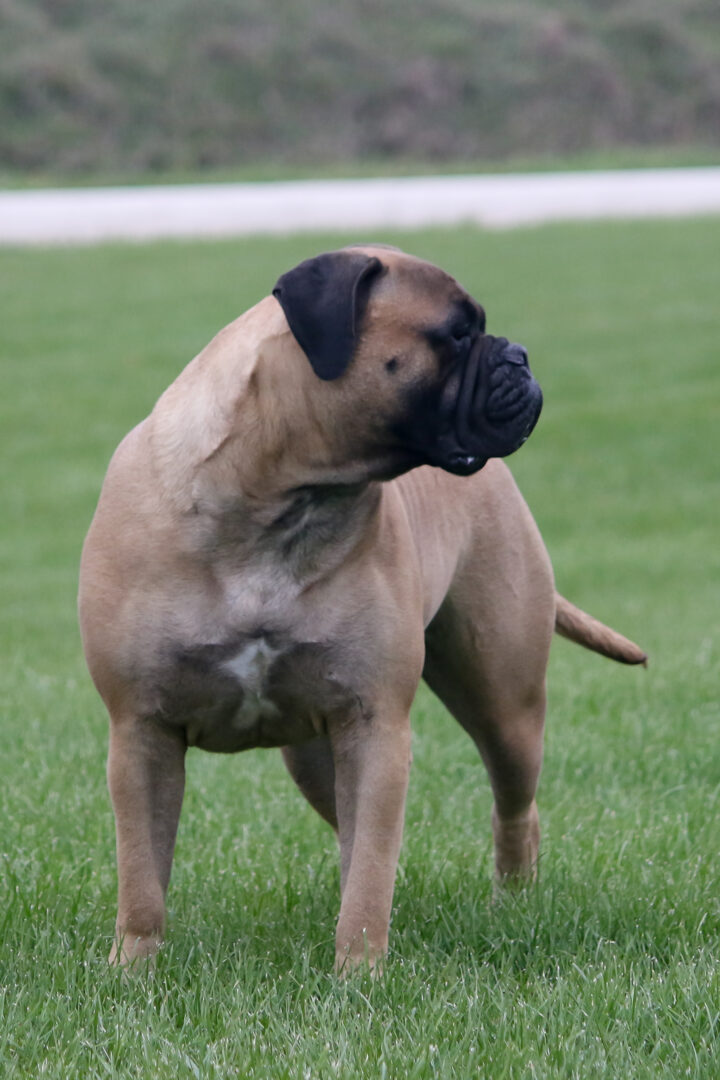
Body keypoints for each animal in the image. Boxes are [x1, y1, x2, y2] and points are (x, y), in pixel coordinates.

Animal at [78, 245, 647, 972]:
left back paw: (516, 901)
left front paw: (359, 971)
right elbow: (142, 872)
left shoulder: (375, 725)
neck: (281, 497)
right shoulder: (141, 732)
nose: (518, 356)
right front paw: (135, 969)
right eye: (456, 334)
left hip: (504, 701)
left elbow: (373, 862)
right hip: (318, 754)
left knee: (513, 806)